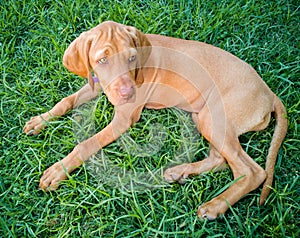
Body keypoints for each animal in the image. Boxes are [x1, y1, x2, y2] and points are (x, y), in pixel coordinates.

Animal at [24, 20, 288, 219]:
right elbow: (66, 101)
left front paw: (57, 171)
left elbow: (86, 144)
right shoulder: (97, 83)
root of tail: (268, 92)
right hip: (206, 117)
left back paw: (215, 206)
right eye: (102, 60)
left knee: (252, 171)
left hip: (214, 117)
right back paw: (179, 173)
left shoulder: (124, 120)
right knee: (222, 159)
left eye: (132, 58)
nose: (128, 93)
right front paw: (40, 121)